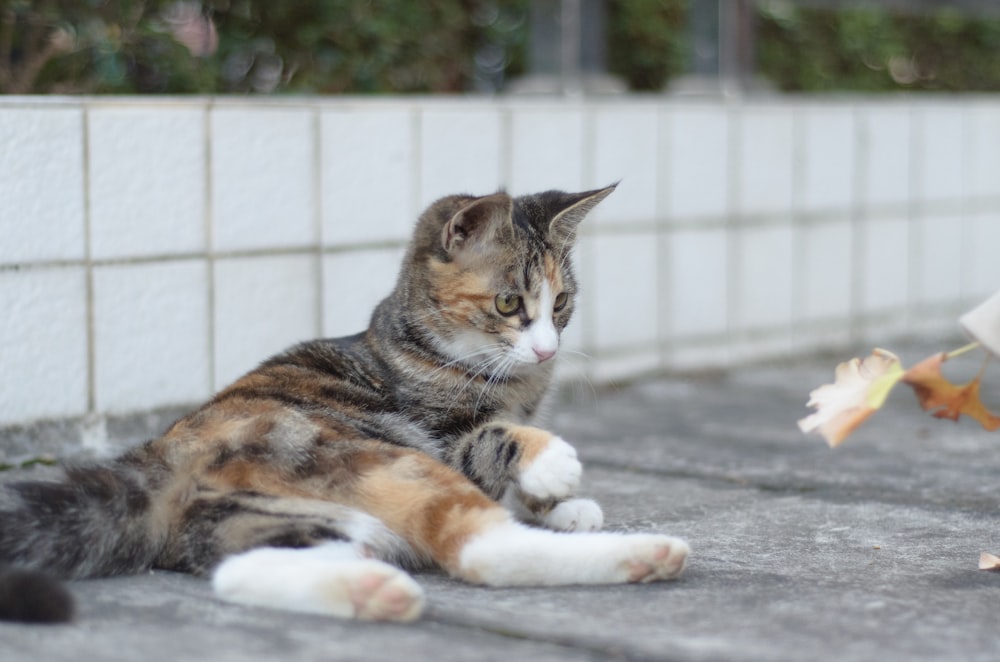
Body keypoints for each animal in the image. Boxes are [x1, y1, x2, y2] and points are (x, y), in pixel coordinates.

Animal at [0, 184, 688, 624]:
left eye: (562, 303)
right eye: (508, 304)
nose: (546, 351)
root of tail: (156, 456)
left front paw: (562, 507)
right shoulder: (441, 434)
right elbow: (491, 440)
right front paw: (552, 468)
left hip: (275, 511)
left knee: (241, 565)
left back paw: (371, 591)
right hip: (370, 455)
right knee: (480, 551)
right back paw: (647, 554)